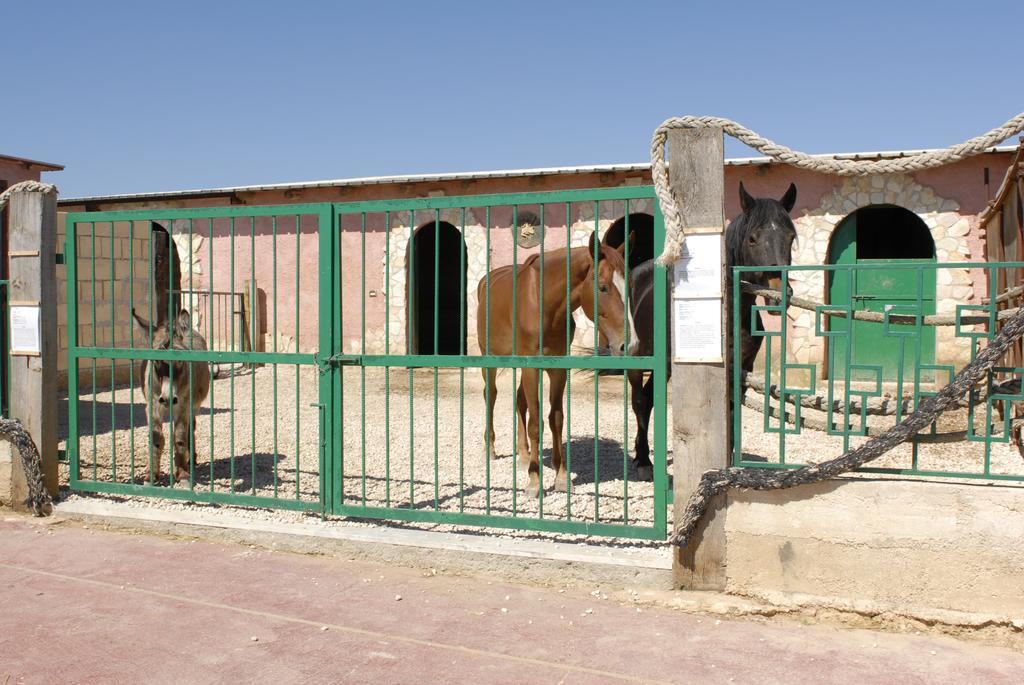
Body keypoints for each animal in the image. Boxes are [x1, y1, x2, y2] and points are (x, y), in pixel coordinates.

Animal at [477, 231, 634, 497]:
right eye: (603, 287)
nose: (627, 344)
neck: (544, 305)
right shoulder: (532, 368)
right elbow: (535, 423)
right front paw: (534, 482)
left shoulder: (558, 369)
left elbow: (556, 419)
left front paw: (561, 477)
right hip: (489, 359)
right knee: (491, 395)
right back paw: (491, 450)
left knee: (519, 400)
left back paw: (524, 455)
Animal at [622, 183, 798, 481]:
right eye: (752, 238)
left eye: (791, 236)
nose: (778, 295)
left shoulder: (743, 369)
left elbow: (732, 413)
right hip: (638, 359)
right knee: (639, 400)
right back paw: (644, 460)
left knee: (648, 399)